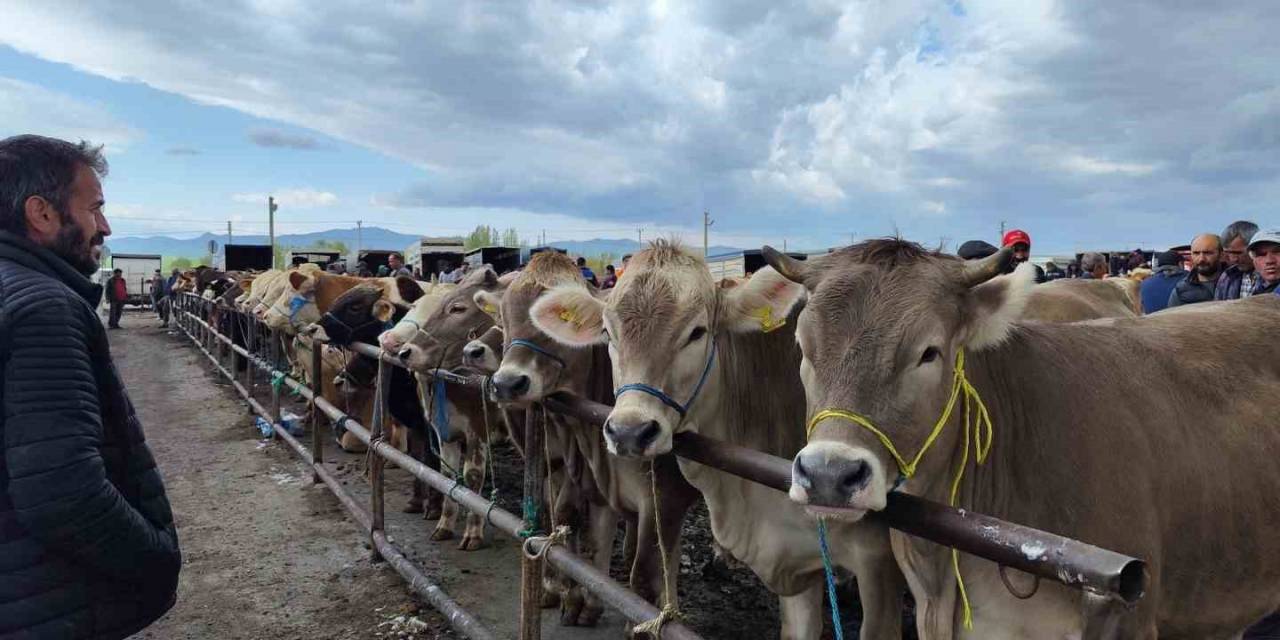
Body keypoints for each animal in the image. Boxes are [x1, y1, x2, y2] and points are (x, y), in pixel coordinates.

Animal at [483, 252, 701, 622]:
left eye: (551, 325)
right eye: (503, 315)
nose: (508, 383)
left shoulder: (664, 491)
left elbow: (650, 562)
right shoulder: (575, 469)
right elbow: (566, 515)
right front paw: (567, 593)